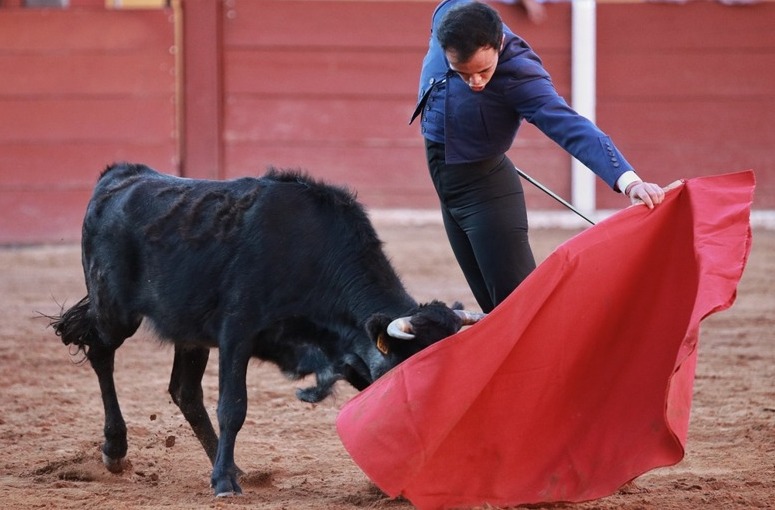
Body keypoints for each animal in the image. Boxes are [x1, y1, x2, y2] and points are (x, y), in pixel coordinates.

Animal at [50, 164, 484, 498]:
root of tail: (120, 175)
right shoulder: (236, 334)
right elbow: (234, 407)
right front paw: (224, 485)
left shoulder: (347, 355)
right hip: (115, 311)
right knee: (102, 353)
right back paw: (117, 448)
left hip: (189, 332)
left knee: (185, 392)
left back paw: (229, 467)